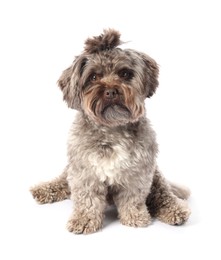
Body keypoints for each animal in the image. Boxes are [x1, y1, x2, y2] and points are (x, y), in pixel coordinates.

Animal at [30, 28, 191, 234]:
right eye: (93, 77)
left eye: (124, 73)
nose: (111, 91)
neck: (112, 129)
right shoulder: (84, 171)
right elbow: (87, 199)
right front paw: (84, 219)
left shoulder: (138, 172)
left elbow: (133, 198)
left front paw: (135, 217)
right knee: (63, 180)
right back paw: (43, 189)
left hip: (156, 176)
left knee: (163, 194)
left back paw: (175, 210)